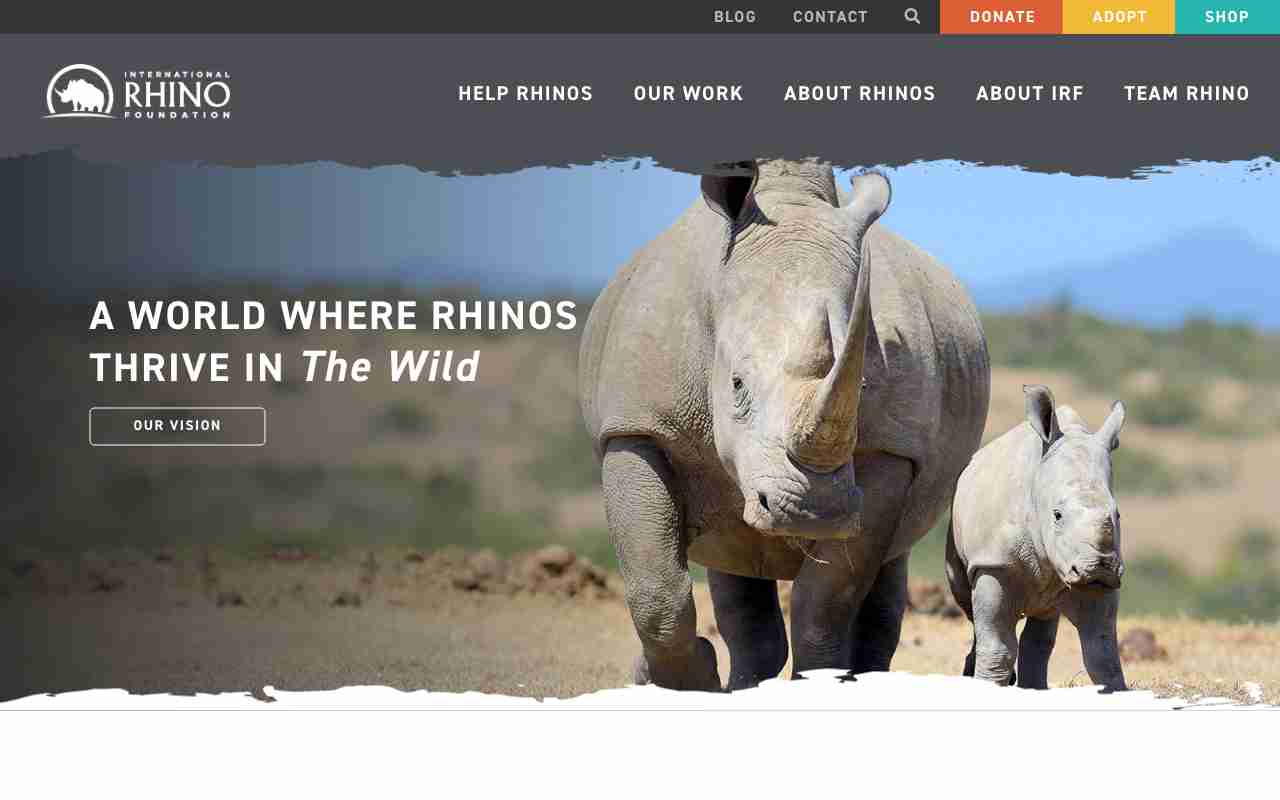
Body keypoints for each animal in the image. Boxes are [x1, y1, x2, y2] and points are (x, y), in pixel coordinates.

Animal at [579, 159, 990, 690]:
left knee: (885, 567)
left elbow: (826, 600)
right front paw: (685, 679)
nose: (812, 511)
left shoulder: (890, 451)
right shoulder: (637, 427)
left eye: (861, 387)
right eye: (735, 384)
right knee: (732, 556)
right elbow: (657, 593)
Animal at [946, 385, 1128, 691]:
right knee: (970, 608)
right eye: (1057, 515)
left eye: (1117, 516)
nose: (1100, 567)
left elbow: (1103, 655)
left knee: (1043, 621)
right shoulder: (993, 563)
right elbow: (997, 649)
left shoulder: (1093, 581)